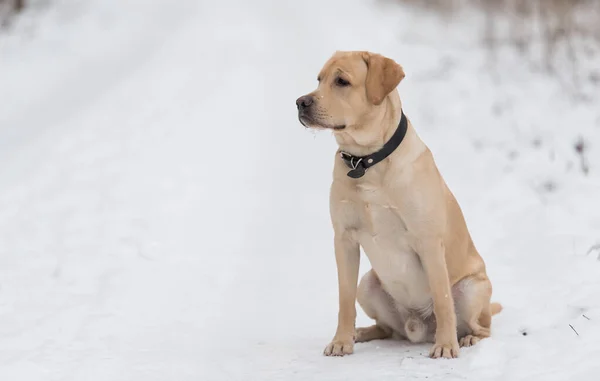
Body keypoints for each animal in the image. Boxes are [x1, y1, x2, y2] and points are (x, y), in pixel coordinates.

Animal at [296, 51, 502, 360]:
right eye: (319, 80)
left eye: (342, 81)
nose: (300, 102)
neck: (367, 162)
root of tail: (416, 327)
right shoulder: (344, 240)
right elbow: (344, 300)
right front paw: (341, 340)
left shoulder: (429, 242)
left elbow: (442, 300)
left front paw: (446, 346)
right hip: (368, 283)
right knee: (386, 328)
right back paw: (361, 333)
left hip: (472, 288)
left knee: (481, 327)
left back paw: (464, 339)